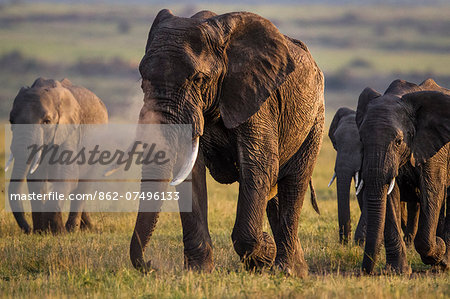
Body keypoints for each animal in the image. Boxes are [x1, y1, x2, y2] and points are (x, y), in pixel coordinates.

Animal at [7, 77, 107, 234]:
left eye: (47, 121)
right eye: (11, 121)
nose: (28, 229)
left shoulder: (69, 132)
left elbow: (67, 176)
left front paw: (58, 232)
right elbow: (35, 180)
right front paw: (41, 232)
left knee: (83, 184)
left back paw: (72, 230)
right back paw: (87, 227)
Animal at [129, 9, 324, 278]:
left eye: (199, 79)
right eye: (142, 80)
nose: (150, 265)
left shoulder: (258, 99)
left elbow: (258, 166)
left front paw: (264, 252)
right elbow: (192, 174)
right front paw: (199, 271)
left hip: (314, 118)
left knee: (293, 183)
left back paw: (285, 269)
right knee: (274, 194)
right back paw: (297, 269)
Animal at [356, 78, 450, 276]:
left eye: (398, 141)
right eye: (361, 140)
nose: (364, 272)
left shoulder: (435, 151)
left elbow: (432, 191)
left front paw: (439, 250)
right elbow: (391, 195)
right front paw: (397, 271)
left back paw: (444, 261)